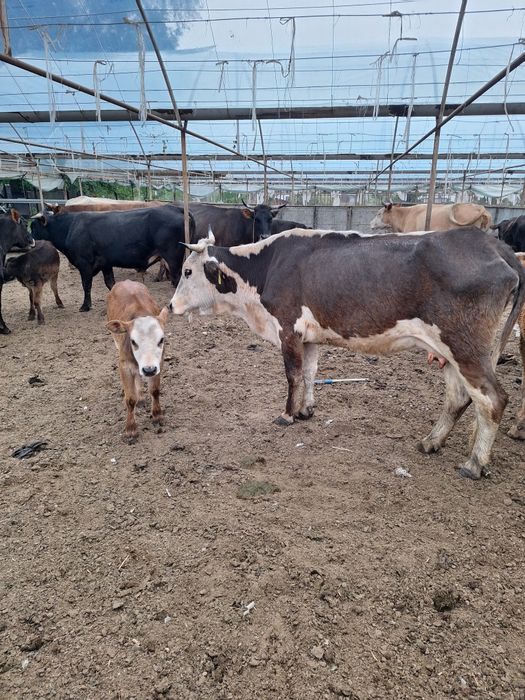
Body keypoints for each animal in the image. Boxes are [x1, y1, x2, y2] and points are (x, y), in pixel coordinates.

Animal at [30, 205, 192, 312]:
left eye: (33, 226)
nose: (30, 241)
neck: (70, 227)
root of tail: (175, 207)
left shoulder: (84, 264)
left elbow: (86, 285)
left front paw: (85, 306)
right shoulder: (105, 264)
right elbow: (111, 283)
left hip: (173, 258)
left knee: (178, 280)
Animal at [106, 280, 169, 441]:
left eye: (161, 340)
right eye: (133, 341)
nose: (149, 369)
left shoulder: (158, 363)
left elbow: (154, 390)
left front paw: (157, 415)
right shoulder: (124, 365)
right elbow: (130, 399)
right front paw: (130, 429)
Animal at [169, 227, 525, 481]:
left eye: (187, 271)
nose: (170, 306)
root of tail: (491, 243)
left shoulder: (287, 328)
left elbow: (293, 374)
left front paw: (287, 414)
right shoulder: (308, 336)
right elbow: (310, 373)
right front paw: (306, 410)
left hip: (466, 348)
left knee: (492, 400)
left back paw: (474, 463)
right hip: (448, 350)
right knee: (458, 397)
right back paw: (431, 442)